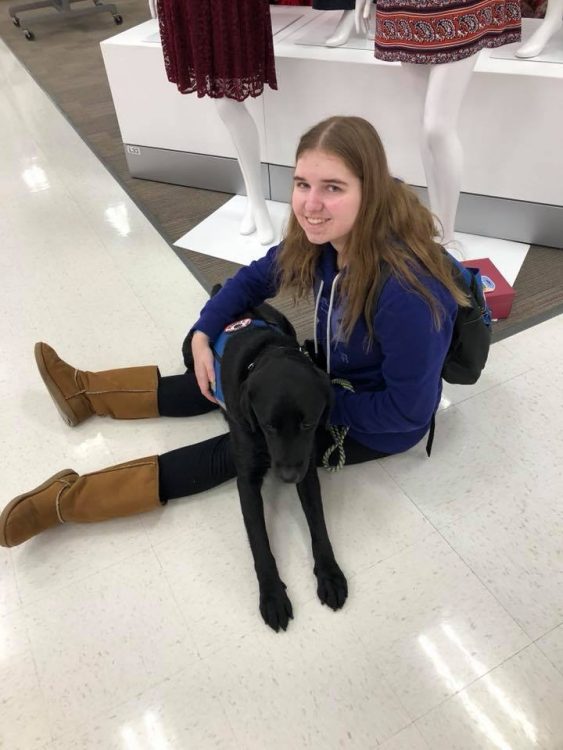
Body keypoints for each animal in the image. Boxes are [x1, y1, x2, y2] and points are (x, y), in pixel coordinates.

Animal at [184, 290, 348, 632]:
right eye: (268, 425)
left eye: (308, 423)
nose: (286, 477)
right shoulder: (247, 479)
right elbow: (260, 541)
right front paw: (272, 595)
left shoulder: (306, 470)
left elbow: (319, 524)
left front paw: (329, 574)